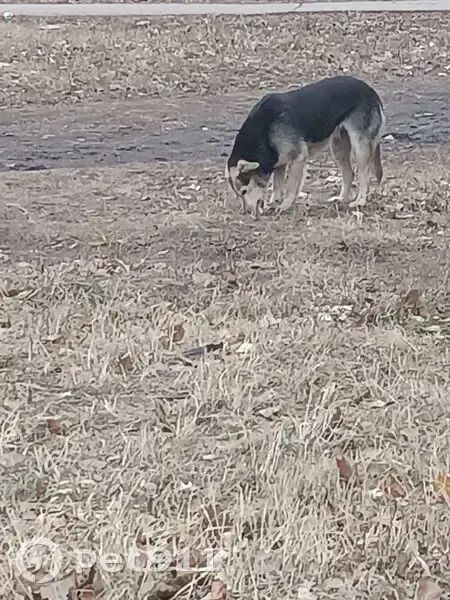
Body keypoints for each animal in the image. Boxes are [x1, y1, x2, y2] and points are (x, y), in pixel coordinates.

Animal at [225, 75, 385, 218]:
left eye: (244, 191)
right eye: (238, 194)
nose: (246, 213)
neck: (263, 129)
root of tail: (371, 91)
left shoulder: (298, 158)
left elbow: (290, 187)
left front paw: (284, 205)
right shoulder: (279, 162)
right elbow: (277, 186)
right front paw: (275, 201)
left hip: (360, 147)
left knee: (364, 175)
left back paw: (360, 201)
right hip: (338, 146)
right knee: (349, 173)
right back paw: (341, 199)